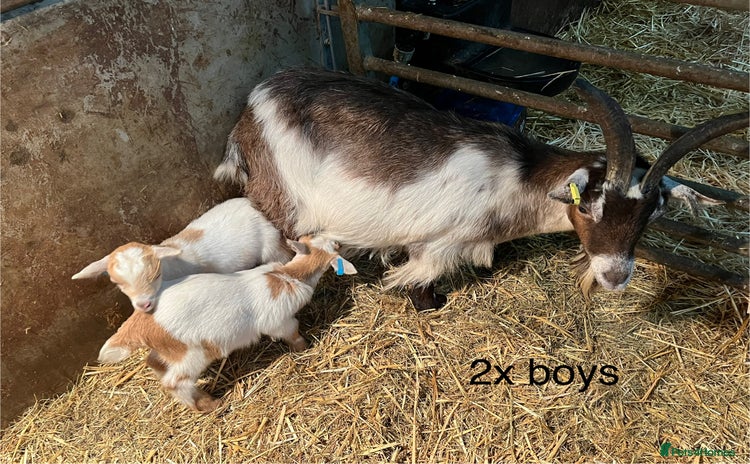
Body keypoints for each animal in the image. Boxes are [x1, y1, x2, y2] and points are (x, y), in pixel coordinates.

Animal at [97, 235, 357, 412]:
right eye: (336, 247)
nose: (338, 240)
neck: (288, 276)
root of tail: (141, 322)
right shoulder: (280, 320)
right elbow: (292, 333)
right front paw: (303, 348)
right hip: (192, 353)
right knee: (174, 382)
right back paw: (209, 404)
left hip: (170, 349)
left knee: (153, 361)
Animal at [215, 68, 747, 309]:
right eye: (589, 206)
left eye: (650, 214)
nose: (615, 276)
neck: (518, 177)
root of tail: (251, 109)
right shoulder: (437, 242)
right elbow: (418, 274)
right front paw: (427, 303)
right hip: (284, 200)